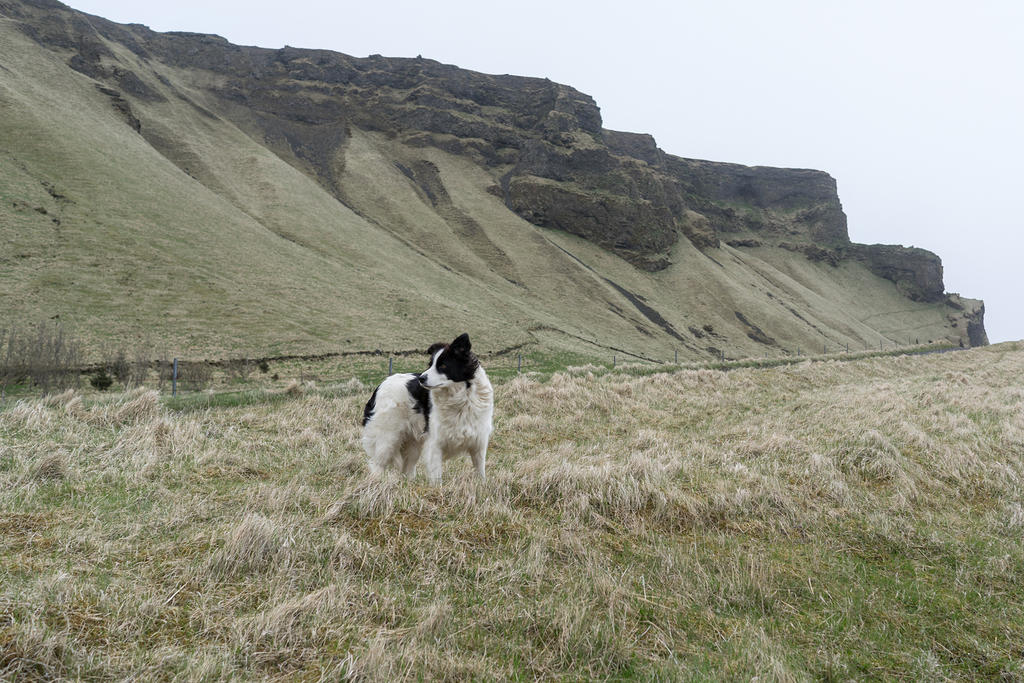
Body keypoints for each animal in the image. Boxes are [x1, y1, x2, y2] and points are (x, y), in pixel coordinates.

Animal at [362, 333, 493, 483]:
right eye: (430, 365)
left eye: (443, 365)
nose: (421, 378)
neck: (461, 398)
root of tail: (381, 385)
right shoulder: (435, 443)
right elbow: (436, 477)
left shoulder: (479, 443)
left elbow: (480, 472)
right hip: (387, 439)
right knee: (377, 464)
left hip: (412, 444)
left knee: (407, 468)